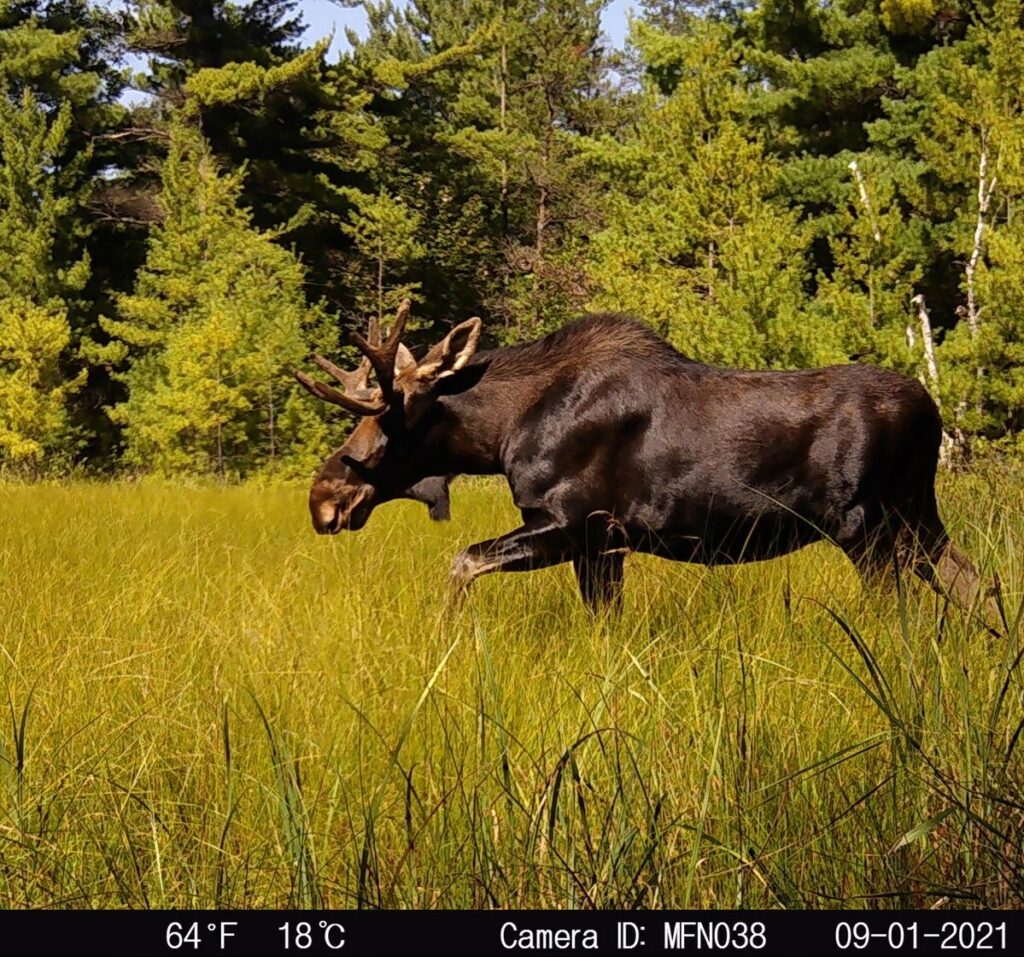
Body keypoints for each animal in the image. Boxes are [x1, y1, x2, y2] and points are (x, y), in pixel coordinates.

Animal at [294, 302, 991, 622]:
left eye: (389, 419)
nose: (323, 500)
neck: (499, 437)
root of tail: (932, 413)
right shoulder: (604, 545)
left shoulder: (574, 523)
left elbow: (462, 561)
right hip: (915, 518)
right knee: (976, 583)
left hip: (867, 527)